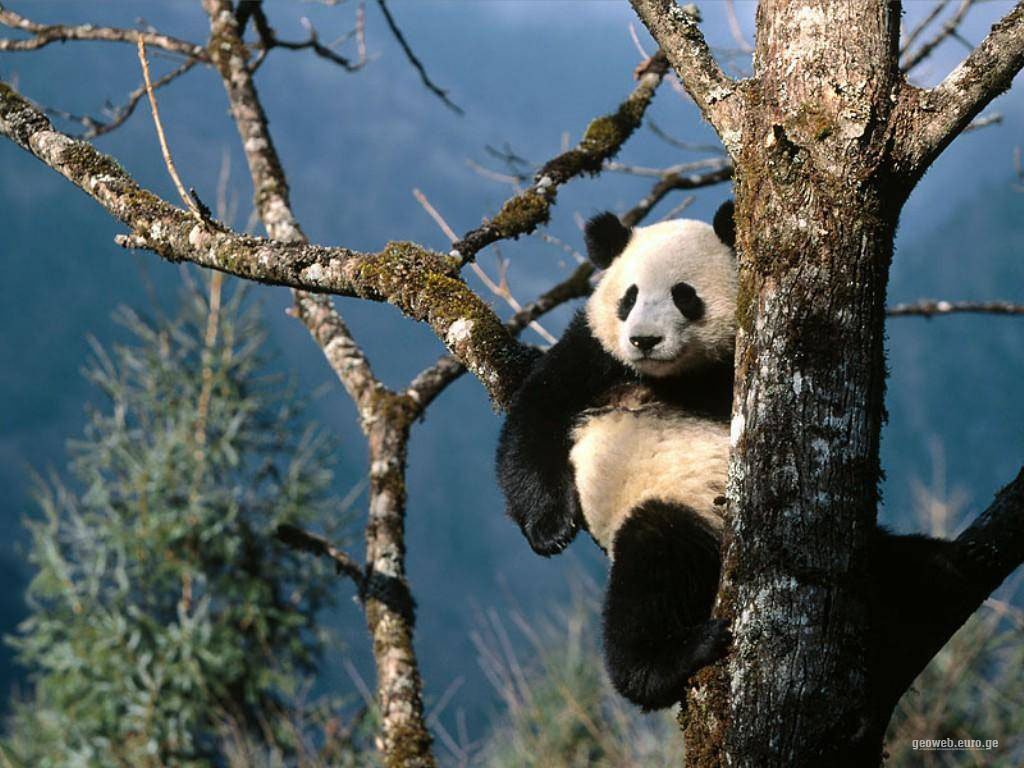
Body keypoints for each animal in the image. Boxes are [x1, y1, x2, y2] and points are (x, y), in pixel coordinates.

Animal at [496, 202, 738, 711]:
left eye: (684, 296)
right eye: (629, 297)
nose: (644, 340)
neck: (672, 376)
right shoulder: (594, 351)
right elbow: (534, 420)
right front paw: (550, 530)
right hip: (675, 506)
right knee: (655, 566)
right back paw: (668, 660)